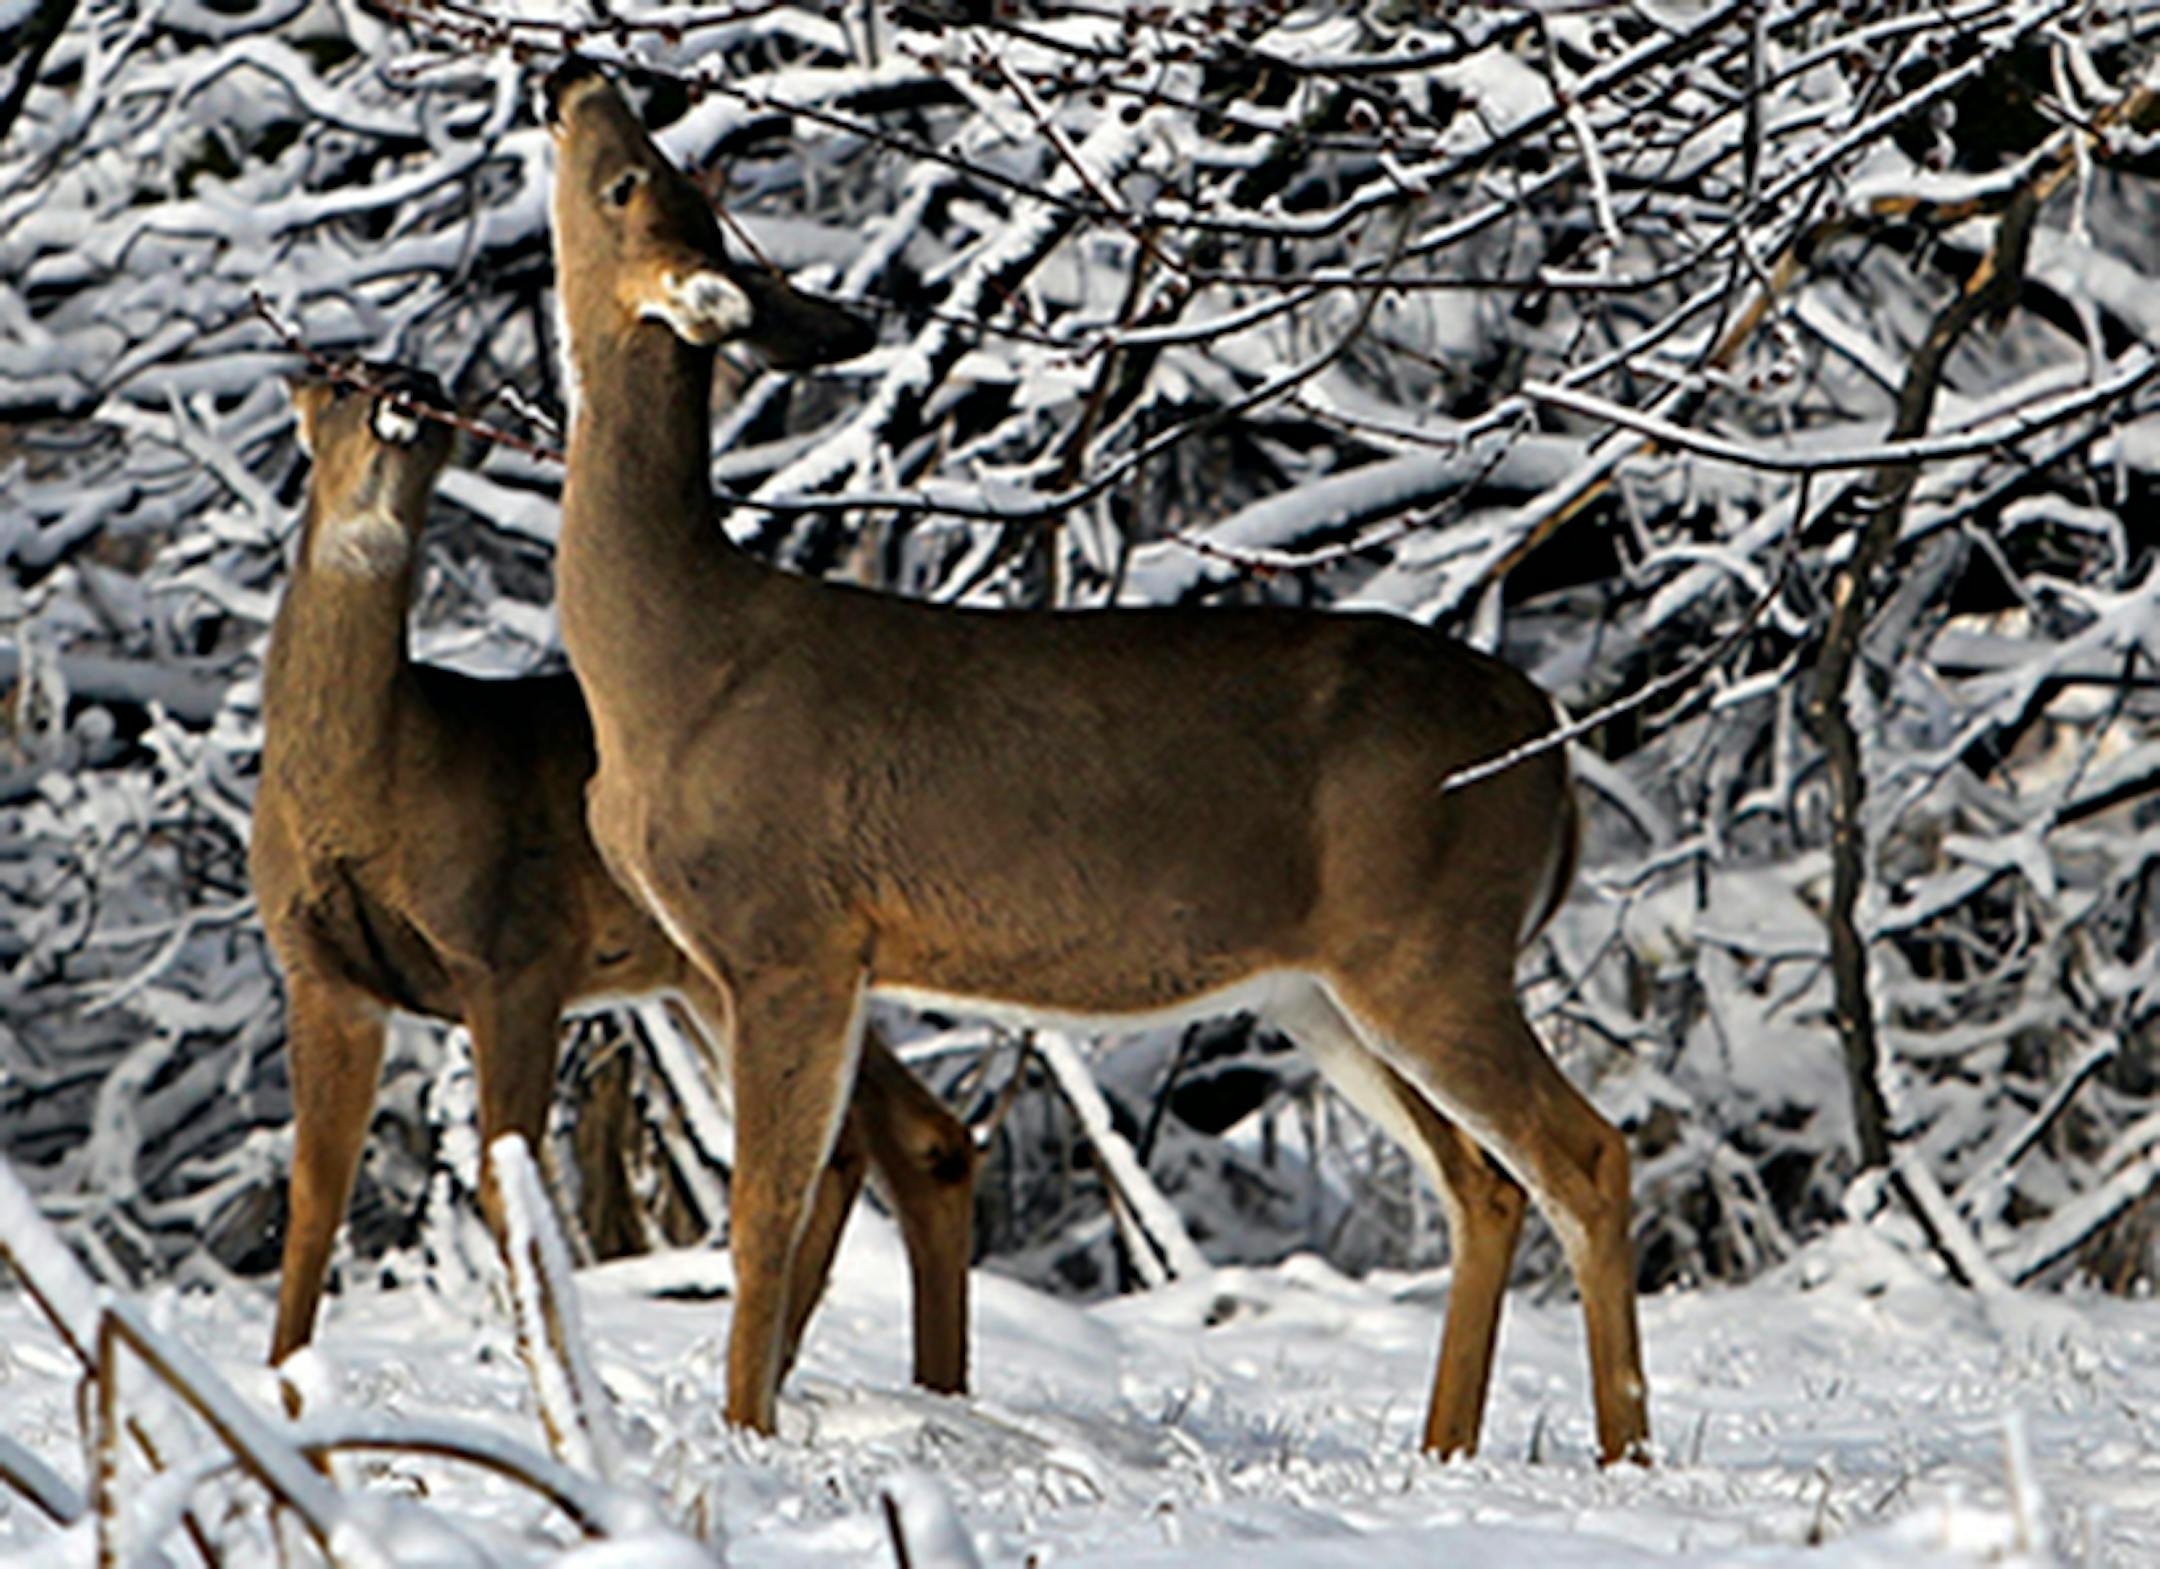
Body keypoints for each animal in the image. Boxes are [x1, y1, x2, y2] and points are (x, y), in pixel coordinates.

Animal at [250, 363, 978, 1396]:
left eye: (431, 390)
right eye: (343, 379)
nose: (413, 388)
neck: (368, 786)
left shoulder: (512, 950)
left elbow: (510, 1184)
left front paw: (553, 1381)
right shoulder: (321, 972)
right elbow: (317, 1189)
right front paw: (282, 1383)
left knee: (871, 1143)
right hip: (710, 976)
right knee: (898, 1140)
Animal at [542, 58, 1649, 1465]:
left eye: (625, 181)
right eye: (664, 174)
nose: (575, 77)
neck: (670, 661)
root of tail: (1552, 753)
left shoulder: (788, 935)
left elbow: (763, 1217)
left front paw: (746, 1435)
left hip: (1435, 941)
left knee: (1585, 1156)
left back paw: (1625, 1455)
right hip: (1326, 985)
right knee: (1483, 1183)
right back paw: (1442, 1449)